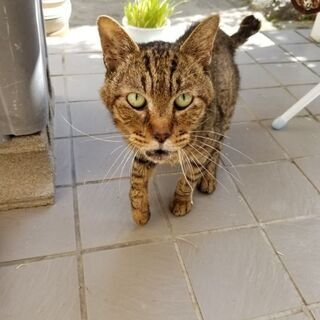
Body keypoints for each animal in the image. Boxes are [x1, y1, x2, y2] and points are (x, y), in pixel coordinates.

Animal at [97, 13, 260, 225]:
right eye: (136, 99)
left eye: (184, 99)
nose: (161, 135)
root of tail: (227, 39)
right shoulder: (141, 146)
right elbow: (136, 176)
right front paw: (139, 210)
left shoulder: (205, 142)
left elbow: (190, 175)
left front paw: (181, 201)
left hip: (223, 117)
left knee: (217, 149)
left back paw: (209, 177)